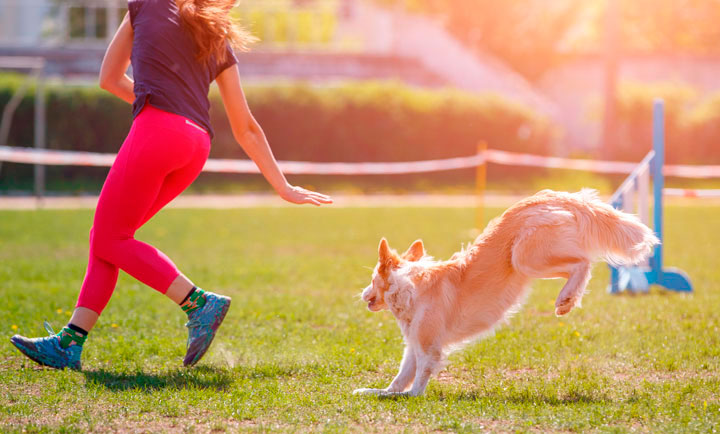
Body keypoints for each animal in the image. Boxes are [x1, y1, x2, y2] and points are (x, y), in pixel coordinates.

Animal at [354, 190, 660, 396]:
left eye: (372, 278)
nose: (363, 294)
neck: (408, 285)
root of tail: (549, 197)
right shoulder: (414, 343)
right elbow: (400, 377)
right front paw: (378, 392)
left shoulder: (429, 347)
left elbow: (418, 381)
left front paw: (409, 396)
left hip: (525, 258)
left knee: (583, 262)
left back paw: (566, 299)